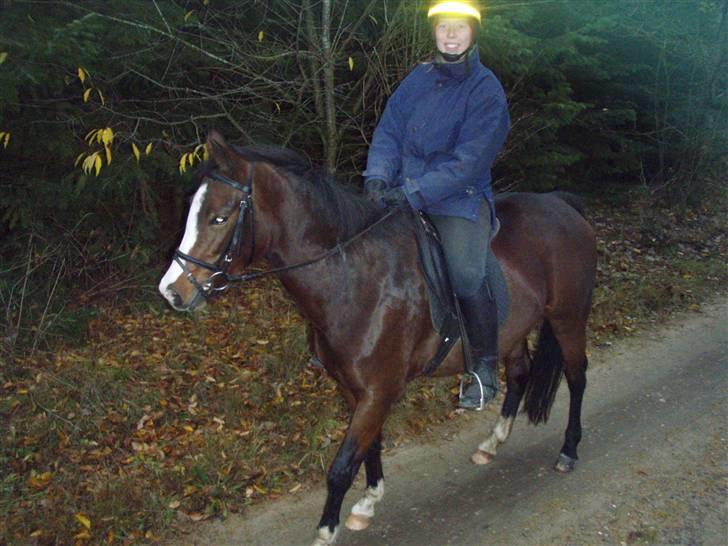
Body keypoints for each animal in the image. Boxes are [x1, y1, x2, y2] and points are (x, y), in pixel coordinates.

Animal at [159, 132, 596, 544]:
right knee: (520, 374)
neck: (353, 277)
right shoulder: (356, 390)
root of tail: (561, 203)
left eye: (219, 218)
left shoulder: (377, 391)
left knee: (577, 377)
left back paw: (569, 450)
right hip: (513, 329)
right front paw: (369, 500)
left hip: (568, 318)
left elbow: (340, 467)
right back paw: (492, 443)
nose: (171, 291)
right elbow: (369, 446)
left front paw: (326, 530)